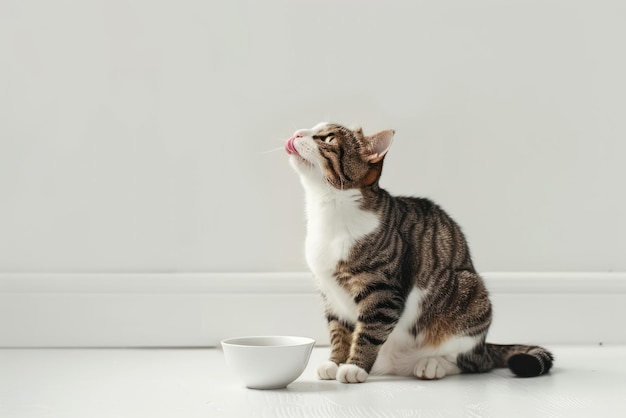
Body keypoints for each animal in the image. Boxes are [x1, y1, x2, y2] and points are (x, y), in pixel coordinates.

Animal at [282, 121, 552, 382]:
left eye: (328, 138)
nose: (296, 134)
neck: (328, 212)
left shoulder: (383, 291)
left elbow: (369, 332)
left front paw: (355, 367)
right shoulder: (331, 295)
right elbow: (340, 332)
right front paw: (335, 362)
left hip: (470, 292)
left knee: (471, 361)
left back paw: (433, 364)